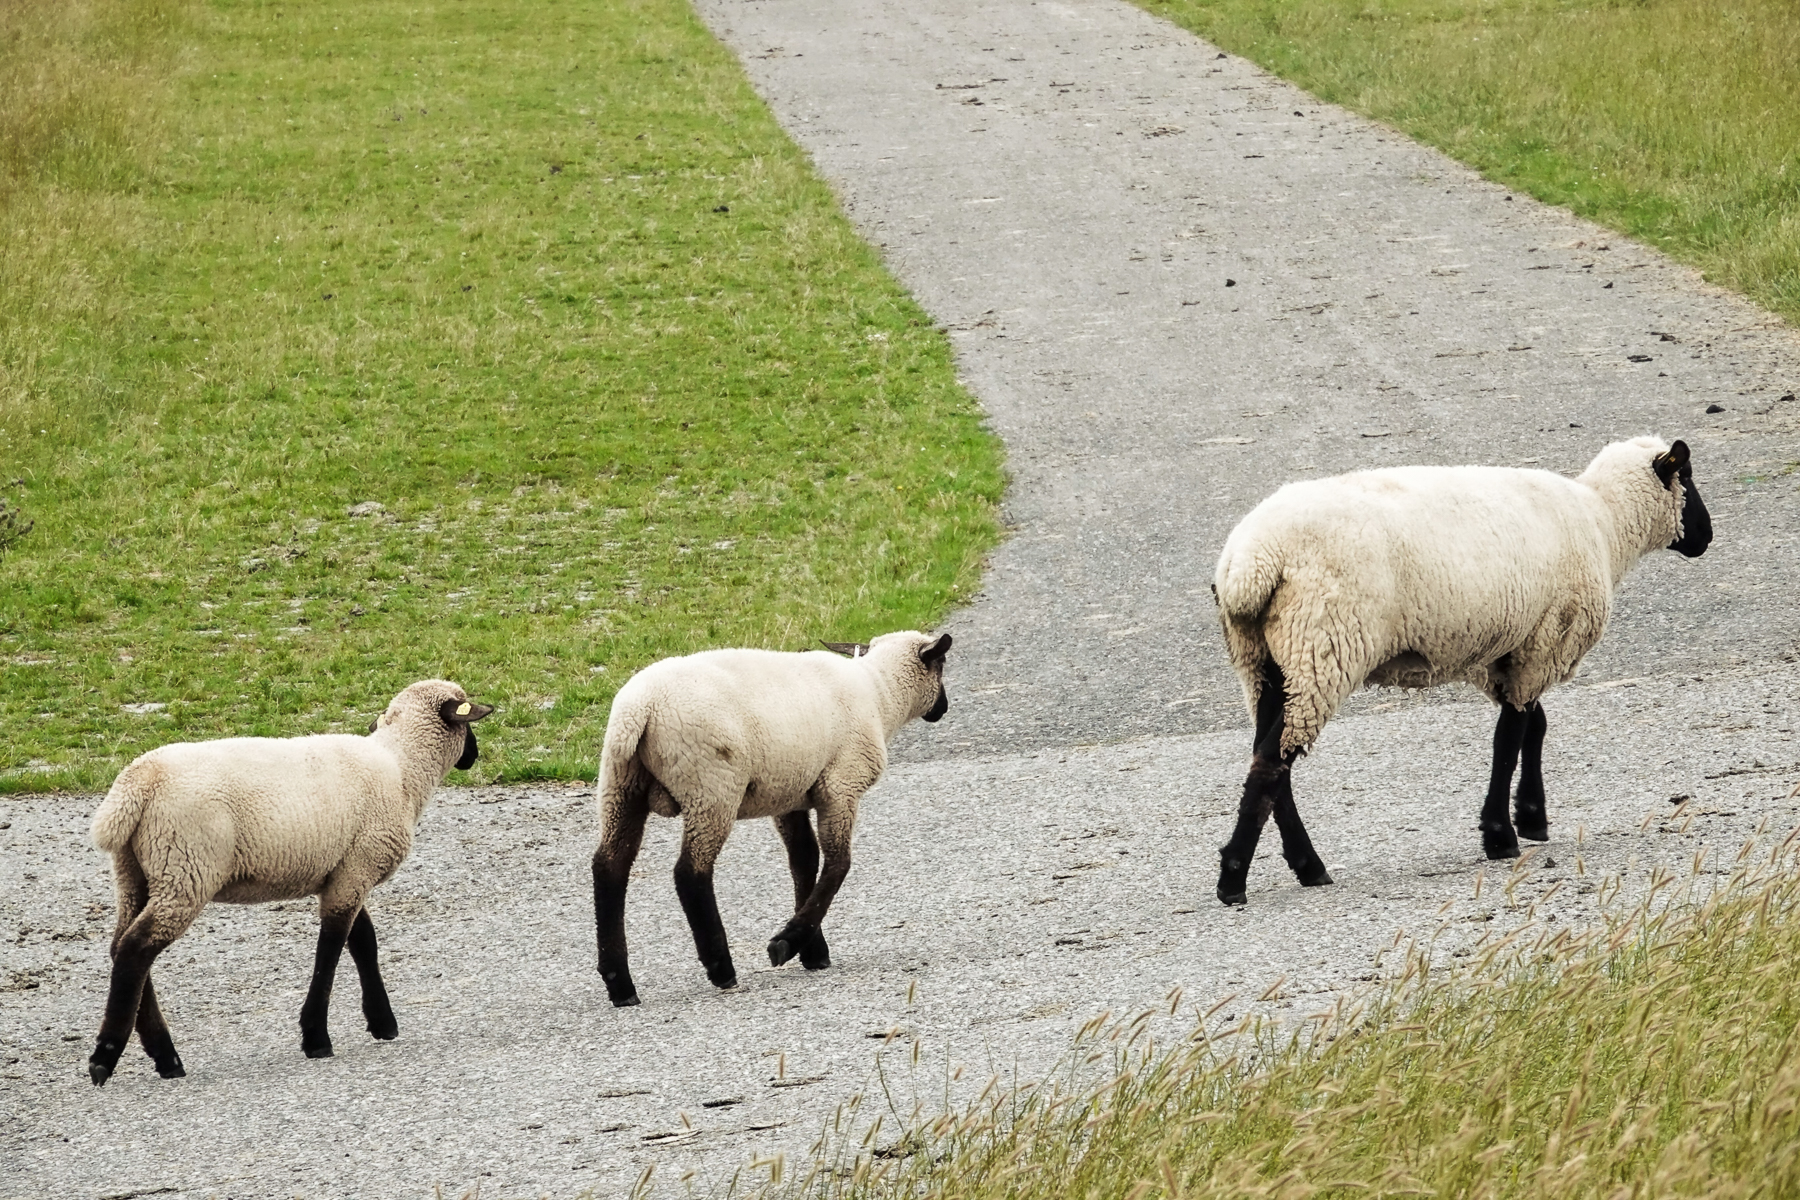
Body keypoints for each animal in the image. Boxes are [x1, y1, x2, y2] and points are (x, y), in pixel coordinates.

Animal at [85, 680, 494, 1084]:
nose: (473, 755)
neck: (403, 767)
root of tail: (136, 785)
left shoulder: (345, 871)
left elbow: (363, 942)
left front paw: (381, 1022)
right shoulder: (359, 866)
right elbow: (331, 949)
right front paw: (316, 1037)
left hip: (137, 872)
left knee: (121, 946)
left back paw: (163, 1056)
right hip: (186, 867)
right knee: (136, 949)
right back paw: (109, 1056)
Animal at [591, 631, 953, 1006]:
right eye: (942, 665)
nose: (943, 708)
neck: (881, 693)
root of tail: (639, 709)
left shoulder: (791, 794)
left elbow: (804, 861)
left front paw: (813, 951)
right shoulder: (841, 787)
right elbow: (838, 864)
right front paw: (787, 942)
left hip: (621, 785)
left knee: (609, 867)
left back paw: (619, 983)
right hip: (711, 786)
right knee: (690, 873)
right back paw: (721, 968)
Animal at [1210, 437, 1712, 906]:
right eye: (1686, 475)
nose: (1706, 536)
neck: (1605, 522)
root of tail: (1250, 565)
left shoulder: (1510, 652)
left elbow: (1533, 726)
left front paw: (1531, 816)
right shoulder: (1542, 643)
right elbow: (1509, 737)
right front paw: (1501, 835)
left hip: (1266, 661)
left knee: (1268, 757)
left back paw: (1306, 865)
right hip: (1322, 647)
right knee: (1271, 761)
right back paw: (1235, 880)